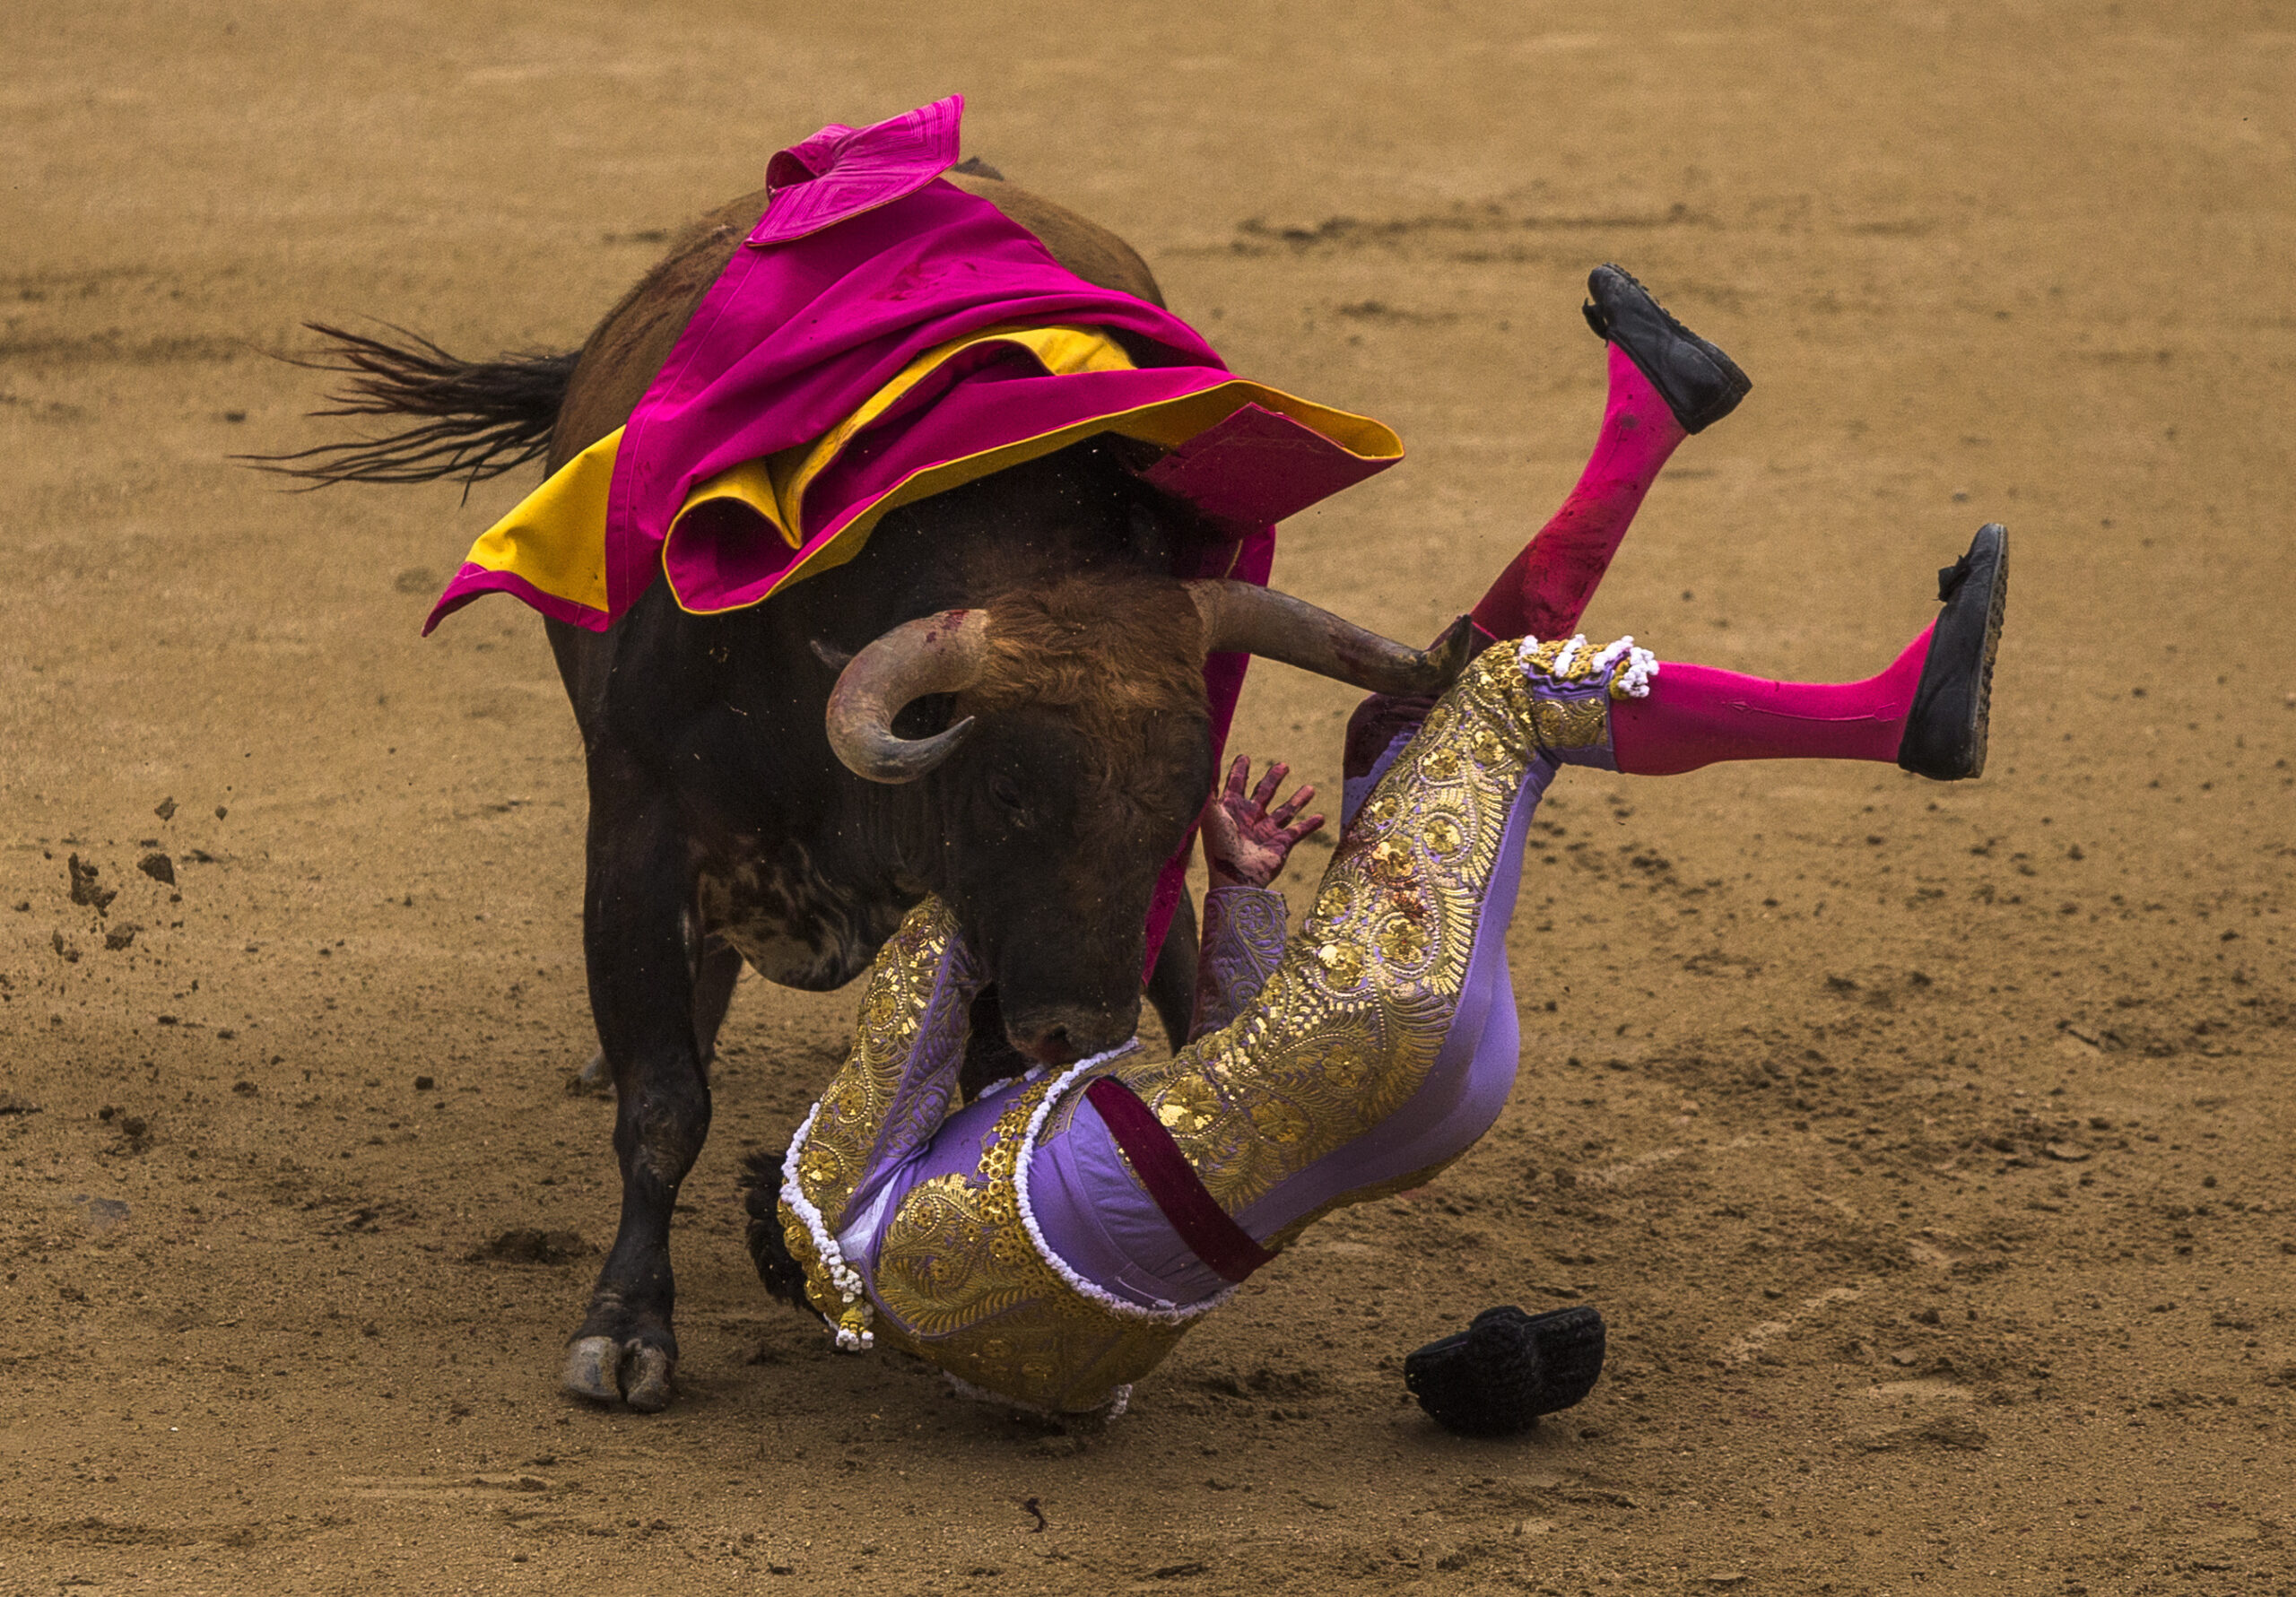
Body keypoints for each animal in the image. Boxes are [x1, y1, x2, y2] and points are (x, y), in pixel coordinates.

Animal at [267, 166, 1466, 1410]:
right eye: (1007, 793)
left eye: (1183, 801)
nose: (1080, 1028)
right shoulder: (639, 836)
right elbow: (664, 1102)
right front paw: (626, 1326)